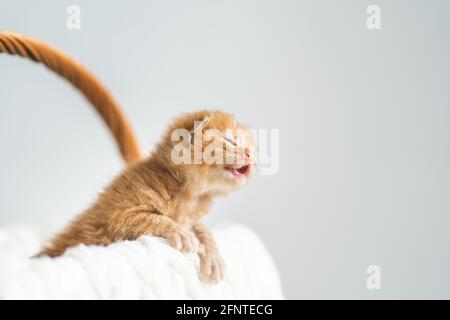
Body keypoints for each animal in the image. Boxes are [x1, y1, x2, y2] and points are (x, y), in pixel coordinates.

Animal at [38, 110, 255, 282]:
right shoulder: (116, 215)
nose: (250, 154)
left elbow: (202, 227)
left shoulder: (191, 216)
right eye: (230, 141)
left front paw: (213, 257)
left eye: (250, 146)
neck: (188, 194)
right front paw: (181, 233)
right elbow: (150, 218)